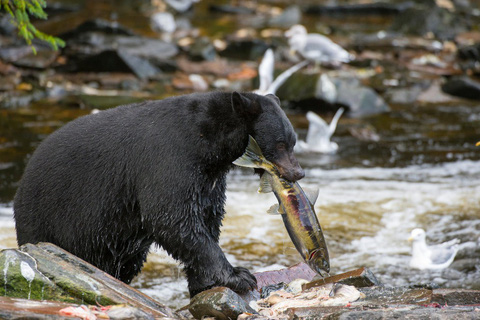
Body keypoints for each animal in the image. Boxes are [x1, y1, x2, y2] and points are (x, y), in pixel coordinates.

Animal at [14, 91, 304, 296]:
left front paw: (204, 282)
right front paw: (239, 276)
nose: (298, 173)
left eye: (293, 141)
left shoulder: (208, 179)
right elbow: (172, 217)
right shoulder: (170, 159)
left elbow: (207, 217)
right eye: (280, 143)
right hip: (48, 218)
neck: (209, 143)